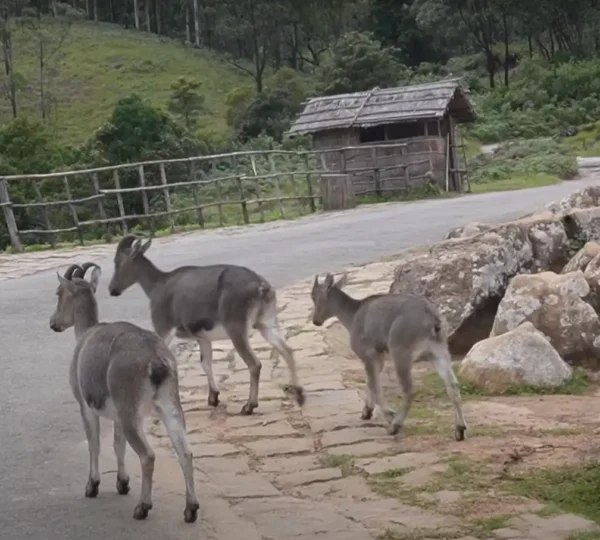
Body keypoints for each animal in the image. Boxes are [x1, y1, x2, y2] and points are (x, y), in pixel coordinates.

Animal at [49, 262, 199, 524]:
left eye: (59, 292)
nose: (53, 323)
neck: (86, 332)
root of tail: (156, 362)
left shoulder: (86, 405)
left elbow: (95, 443)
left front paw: (92, 486)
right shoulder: (118, 413)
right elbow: (118, 444)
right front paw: (122, 483)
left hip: (131, 408)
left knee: (147, 455)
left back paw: (143, 507)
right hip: (168, 402)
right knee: (185, 451)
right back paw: (190, 509)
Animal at [107, 234, 304, 416]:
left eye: (117, 261)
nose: (112, 289)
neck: (157, 286)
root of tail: (262, 287)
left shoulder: (164, 328)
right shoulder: (202, 336)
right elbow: (205, 362)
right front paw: (213, 397)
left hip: (236, 326)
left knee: (254, 363)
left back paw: (249, 406)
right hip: (266, 321)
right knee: (287, 350)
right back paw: (299, 395)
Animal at [312, 272, 466, 440]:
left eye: (314, 297)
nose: (315, 321)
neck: (352, 317)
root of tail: (434, 321)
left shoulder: (368, 352)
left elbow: (374, 385)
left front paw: (389, 414)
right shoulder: (379, 354)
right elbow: (371, 382)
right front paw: (367, 411)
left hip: (400, 350)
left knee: (409, 389)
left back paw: (395, 426)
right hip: (438, 350)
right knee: (452, 384)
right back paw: (460, 429)